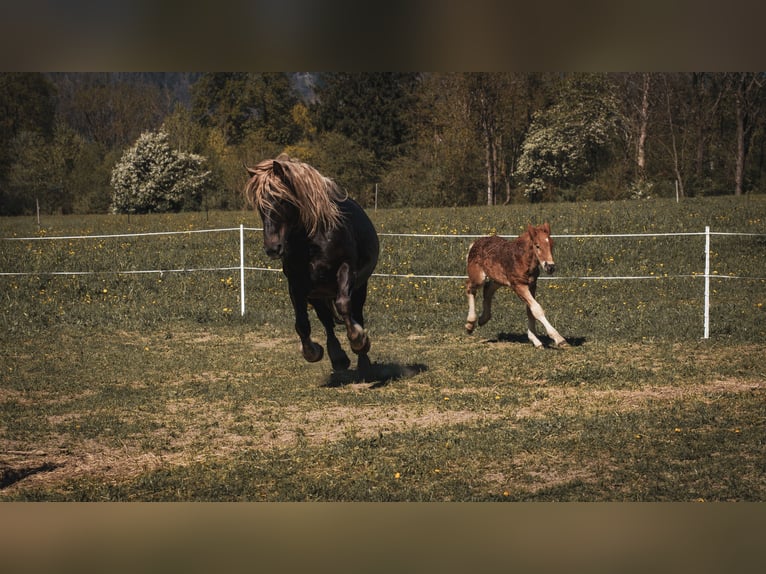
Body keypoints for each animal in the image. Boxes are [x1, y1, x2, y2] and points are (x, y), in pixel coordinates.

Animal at [244, 154, 380, 378]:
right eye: (259, 205)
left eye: (282, 200)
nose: (273, 248)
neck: (313, 240)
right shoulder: (297, 284)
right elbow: (301, 323)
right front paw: (312, 351)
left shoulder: (346, 269)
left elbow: (344, 305)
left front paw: (359, 340)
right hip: (318, 294)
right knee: (326, 321)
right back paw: (338, 358)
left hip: (359, 286)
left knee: (355, 313)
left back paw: (363, 360)